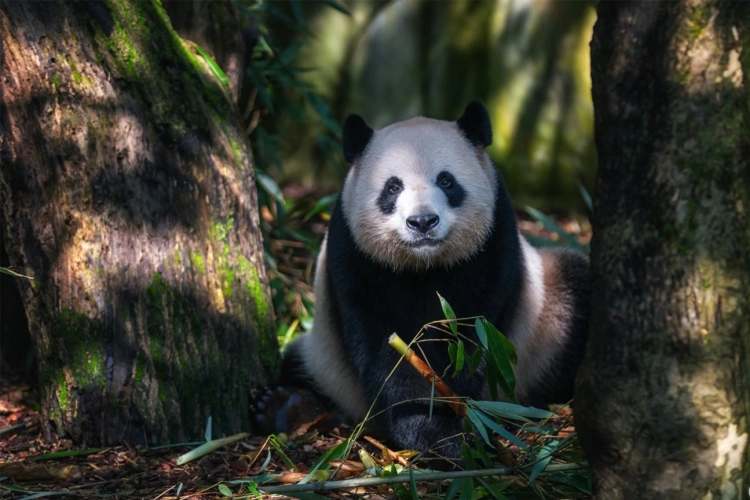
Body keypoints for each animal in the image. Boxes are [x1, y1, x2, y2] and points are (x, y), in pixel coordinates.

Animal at [262, 101, 589, 460]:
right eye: (393, 187)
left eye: (446, 181)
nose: (422, 222)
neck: (424, 265)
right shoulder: (354, 254)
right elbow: (384, 351)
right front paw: (434, 432)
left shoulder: (492, 243)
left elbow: (471, 336)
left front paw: (458, 429)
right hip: (323, 357)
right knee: (296, 368)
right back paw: (283, 406)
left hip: (546, 323)